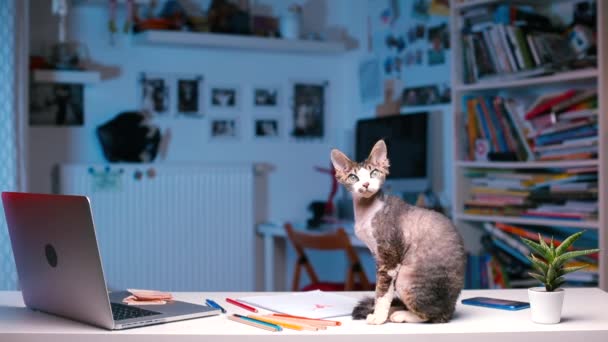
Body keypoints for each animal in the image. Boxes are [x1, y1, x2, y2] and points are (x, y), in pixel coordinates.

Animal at [332, 138, 466, 324]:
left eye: (374, 173)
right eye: (354, 177)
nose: (365, 184)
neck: (366, 212)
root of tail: (451, 308)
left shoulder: (389, 256)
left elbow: (382, 291)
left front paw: (378, 317)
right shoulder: (378, 255)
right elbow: (381, 289)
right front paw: (379, 312)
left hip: (406, 278)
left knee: (432, 315)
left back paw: (401, 314)